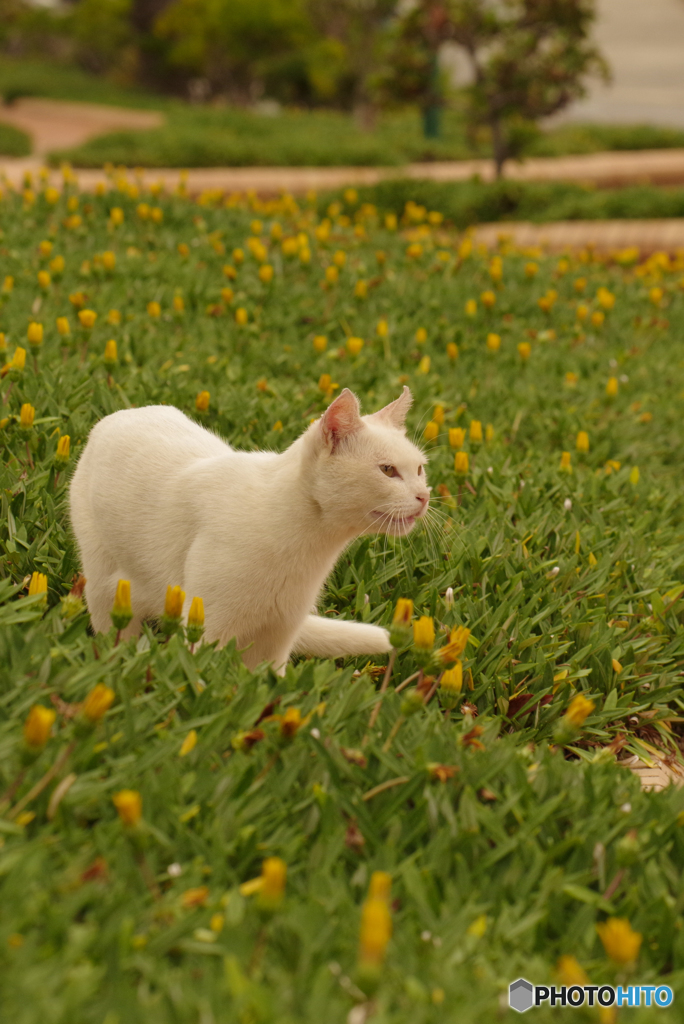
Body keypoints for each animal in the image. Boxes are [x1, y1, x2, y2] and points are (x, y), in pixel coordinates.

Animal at [70, 385, 432, 671]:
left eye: (419, 469)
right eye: (388, 471)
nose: (425, 496)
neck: (306, 548)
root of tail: (122, 414)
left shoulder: (278, 637)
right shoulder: (207, 629)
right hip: (106, 589)